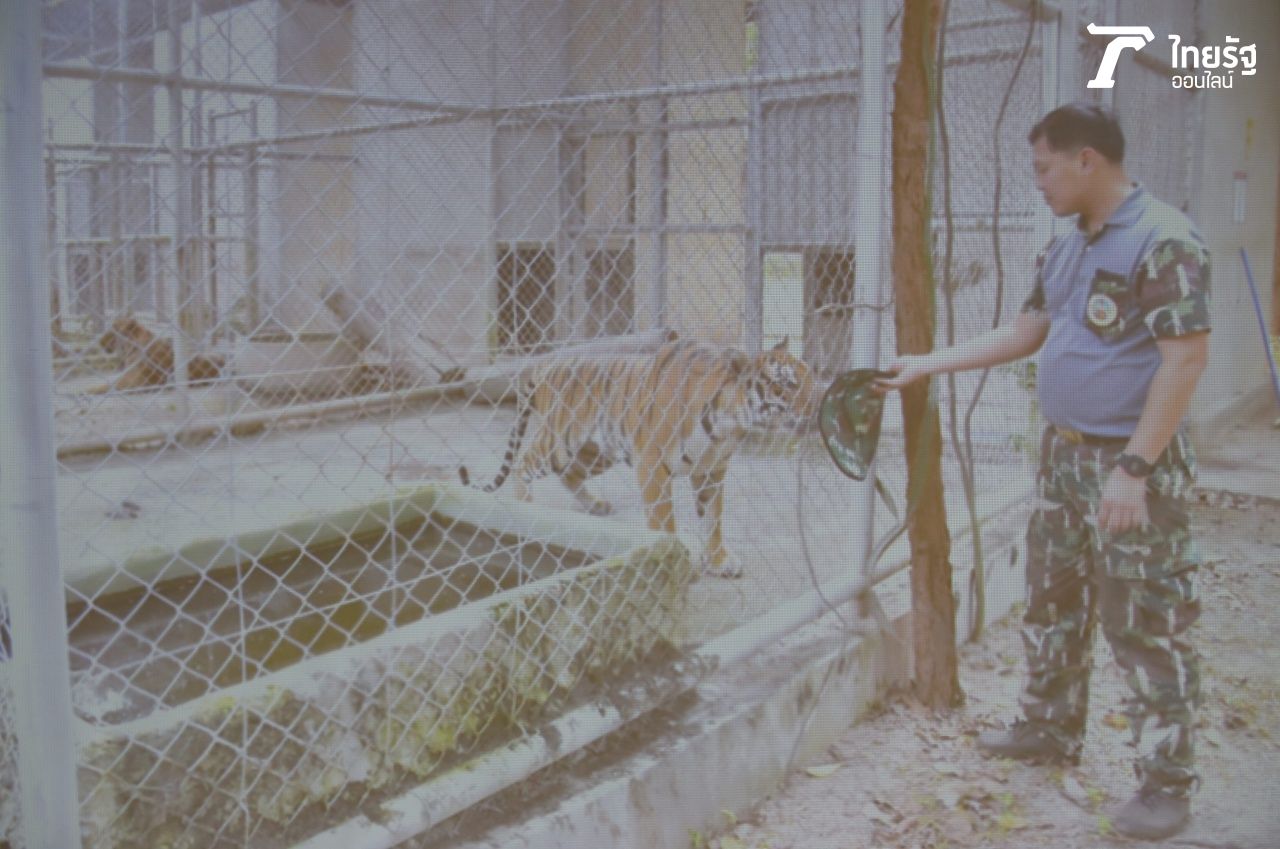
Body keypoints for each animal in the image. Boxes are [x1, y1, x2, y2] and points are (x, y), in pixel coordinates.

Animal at [459, 337, 819, 578]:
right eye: (786, 385)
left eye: (810, 378)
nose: (818, 406)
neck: (729, 420)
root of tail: (546, 364)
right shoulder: (652, 462)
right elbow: (663, 521)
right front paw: (675, 561)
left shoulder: (711, 469)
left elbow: (713, 519)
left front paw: (718, 561)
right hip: (559, 440)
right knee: (524, 463)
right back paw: (527, 509)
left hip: (596, 451)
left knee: (569, 474)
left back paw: (595, 505)